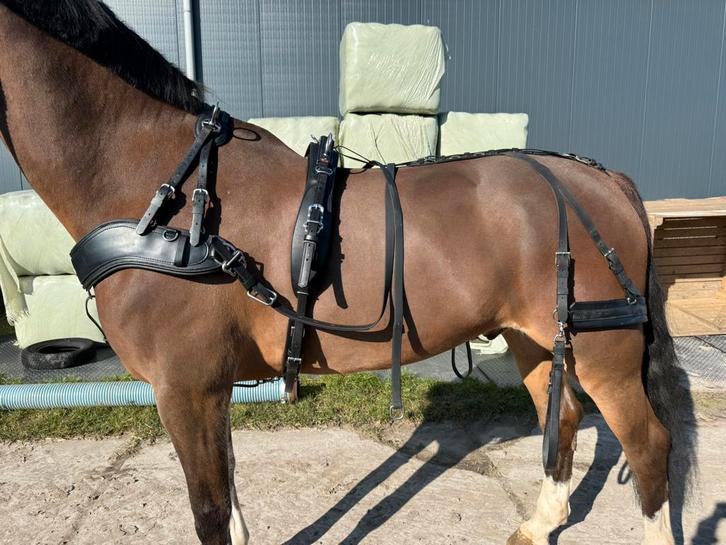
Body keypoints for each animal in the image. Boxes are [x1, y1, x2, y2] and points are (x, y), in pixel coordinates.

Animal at [0, 2, 696, 544]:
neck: (174, 202)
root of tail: (606, 179)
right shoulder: (207, 388)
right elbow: (227, 499)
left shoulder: (186, 387)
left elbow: (210, 511)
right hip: (534, 337)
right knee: (570, 418)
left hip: (606, 352)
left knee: (649, 445)